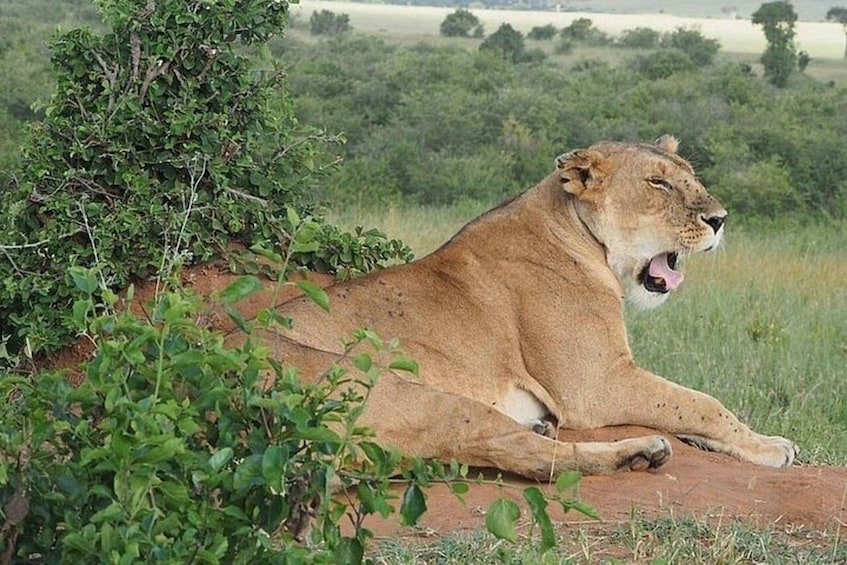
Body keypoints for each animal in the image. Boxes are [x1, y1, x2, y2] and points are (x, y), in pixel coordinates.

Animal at [234, 136, 797, 479]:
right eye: (657, 183)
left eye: (691, 178)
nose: (721, 218)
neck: (582, 236)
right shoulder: (595, 386)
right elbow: (703, 403)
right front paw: (772, 447)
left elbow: (690, 405)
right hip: (416, 396)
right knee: (537, 458)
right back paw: (641, 452)